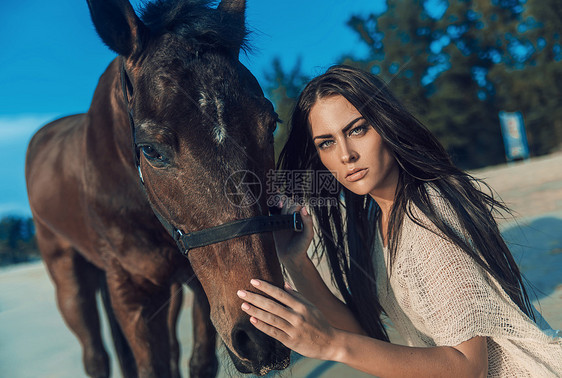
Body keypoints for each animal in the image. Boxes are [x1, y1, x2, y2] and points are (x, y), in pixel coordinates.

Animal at [24, 0, 290, 376]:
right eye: (150, 150)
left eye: (271, 124)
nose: (264, 337)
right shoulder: (132, 293)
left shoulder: (198, 282)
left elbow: (198, 361)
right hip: (69, 278)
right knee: (95, 354)